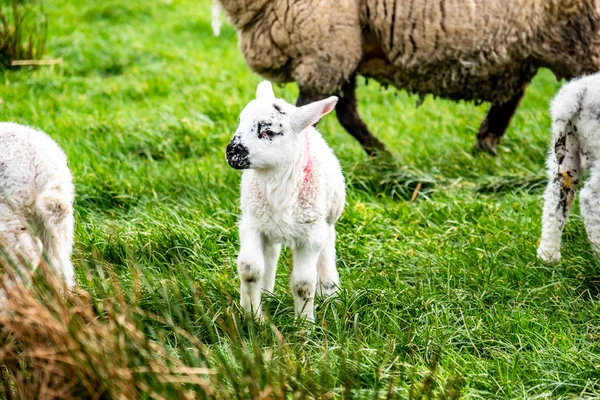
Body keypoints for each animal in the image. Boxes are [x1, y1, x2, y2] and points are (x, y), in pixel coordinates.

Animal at [214, 0, 600, 156]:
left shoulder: (327, 45)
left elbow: (309, 116)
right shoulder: (342, 47)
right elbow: (346, 113)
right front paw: (384, 159)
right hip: (523, 46)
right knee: (510, 95)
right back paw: (483, 149)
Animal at [225, 81, 346, 322]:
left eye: (268, 131)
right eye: (240, 121)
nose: (231, 152)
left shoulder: (311, 235)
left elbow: (303, 283)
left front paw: (304, 324)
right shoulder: (251, 224)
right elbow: (249, 269)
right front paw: (253, 316)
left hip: (326, 220)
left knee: (328, 247)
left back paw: (330, 293)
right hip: (267, 222)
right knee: (271, 253)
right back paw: (266, 293)